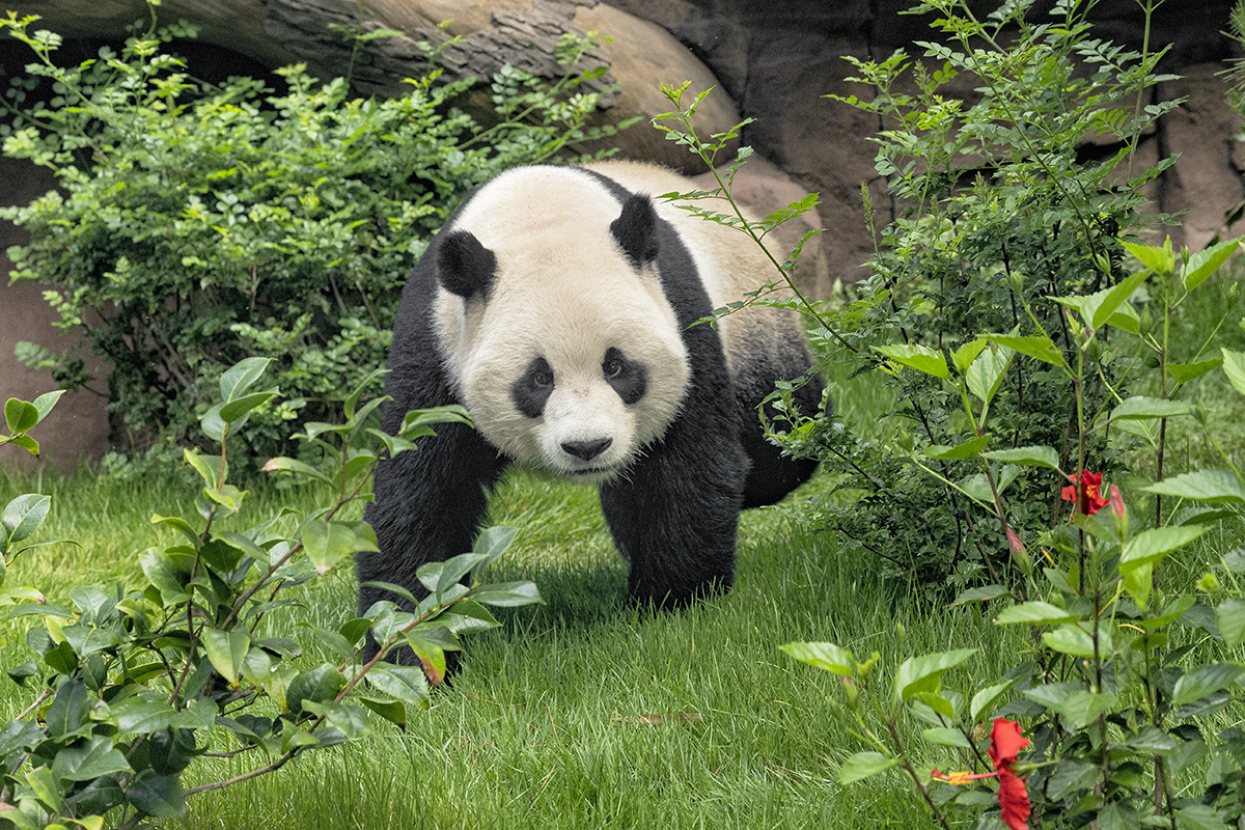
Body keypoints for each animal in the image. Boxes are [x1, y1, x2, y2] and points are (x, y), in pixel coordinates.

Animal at [358, 159, 825, 626]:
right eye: (539, 379)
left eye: (615, 367)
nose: (588, 447)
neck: (540, 214)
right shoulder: (436, 346)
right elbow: (424, 491)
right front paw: (404, 625)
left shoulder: (682, 319)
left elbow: (689, 466)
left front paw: (672, 603)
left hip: (754, 326)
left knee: (779, 442)